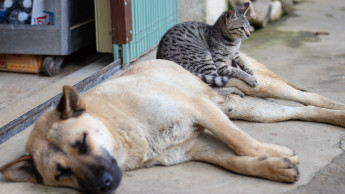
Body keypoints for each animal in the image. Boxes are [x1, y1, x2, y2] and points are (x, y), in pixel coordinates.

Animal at [2, 56, 344, 193]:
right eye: (62, 173)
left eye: (82, 143)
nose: (105, 185)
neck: (121, 125)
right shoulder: (198, 147)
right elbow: (235, 161)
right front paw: (274, 166)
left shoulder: (200, 110)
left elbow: (240, 142)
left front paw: (274, 153)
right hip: (254, 110)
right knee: (301, 111)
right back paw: (334, 115)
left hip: (259, 88)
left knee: (307, 97)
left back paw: (338, 110)